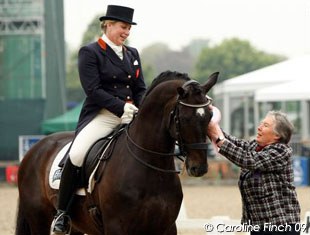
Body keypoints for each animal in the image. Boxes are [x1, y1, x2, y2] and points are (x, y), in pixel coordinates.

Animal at [16, 71, 218, 235]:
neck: (150, 166)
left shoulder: (166, 228)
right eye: (183, 118)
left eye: (209, 116)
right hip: (39, 219)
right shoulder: (117, 227)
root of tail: (36, 148)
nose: (199, 168)